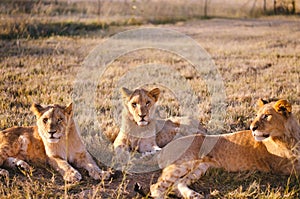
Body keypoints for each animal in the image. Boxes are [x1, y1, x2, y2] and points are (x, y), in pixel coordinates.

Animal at [151, 98, 300, 198]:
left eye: (266, 116)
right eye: (257, 115)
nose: (252, 128)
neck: (290, 136)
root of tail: (164, 147)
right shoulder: (284, 166)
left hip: (201, 167)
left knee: (178, 184)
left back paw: (194, 195)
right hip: (183, 163)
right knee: (156, 187)